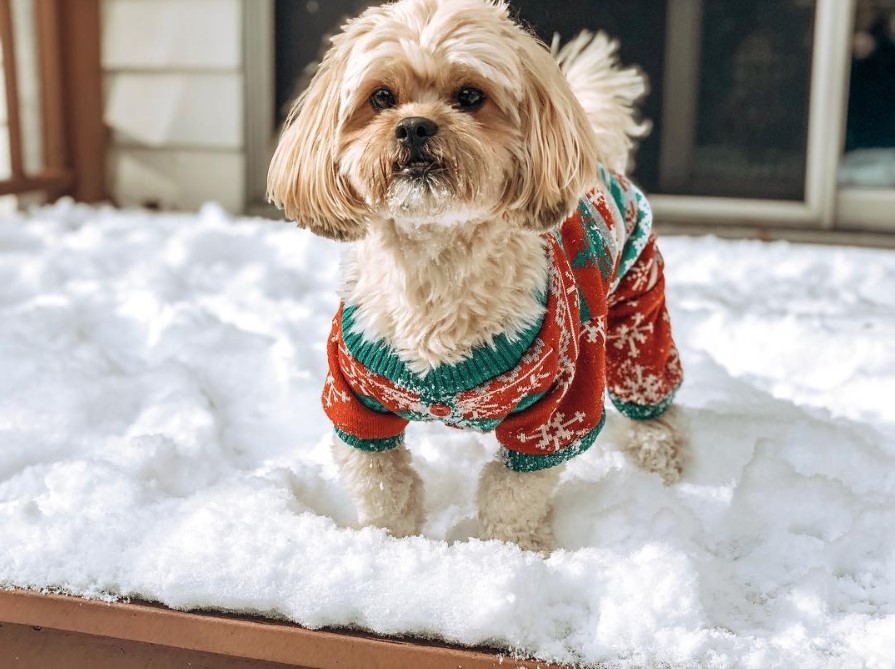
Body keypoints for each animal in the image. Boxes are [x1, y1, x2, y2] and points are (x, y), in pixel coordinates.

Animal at [266, 0, 688, 552]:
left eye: (469, 96)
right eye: (381, 97)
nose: (414, 127)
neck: (434, 271)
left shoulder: (558, 407)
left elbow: (513, 490)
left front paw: (515, 551)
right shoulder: (354, 397)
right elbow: (382, 483)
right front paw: (386, 545)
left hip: (639, 307)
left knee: (652, 388)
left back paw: (659, 448)